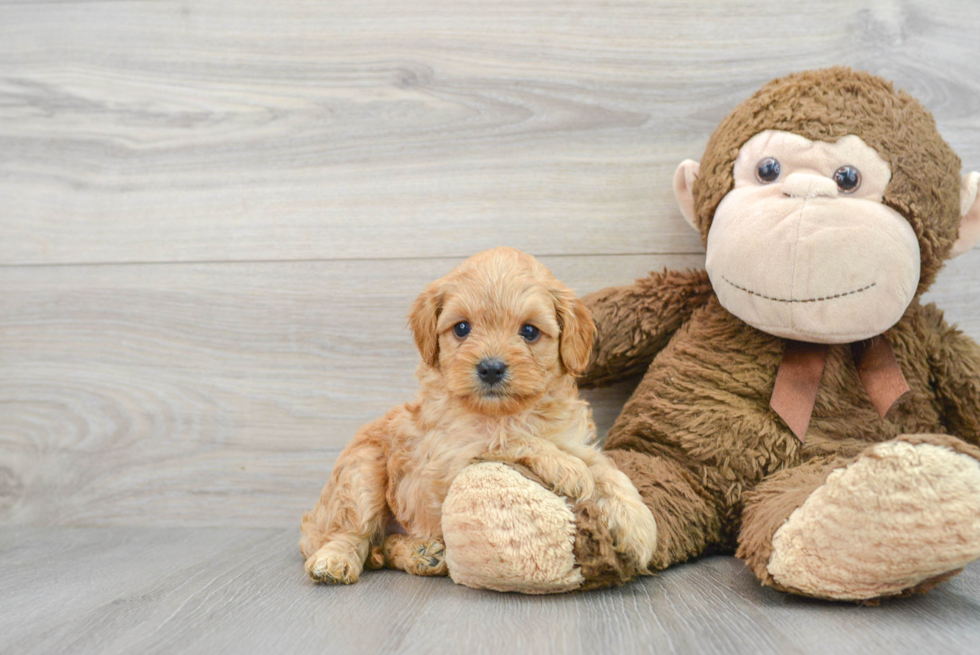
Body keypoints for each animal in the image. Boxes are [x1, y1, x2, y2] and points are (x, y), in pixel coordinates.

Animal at [302, 247, 656, 584]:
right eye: (462, 328)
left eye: (529, 331)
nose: (491, 368)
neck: (506, 412)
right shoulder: (447, 458)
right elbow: (507, 439)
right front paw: (567, 468)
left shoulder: (573, 440)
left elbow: (607, 471)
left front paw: (638, 524)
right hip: (362, 470)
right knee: (350, 532)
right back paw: (334, 560)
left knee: (384, 545)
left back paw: (421, 555)